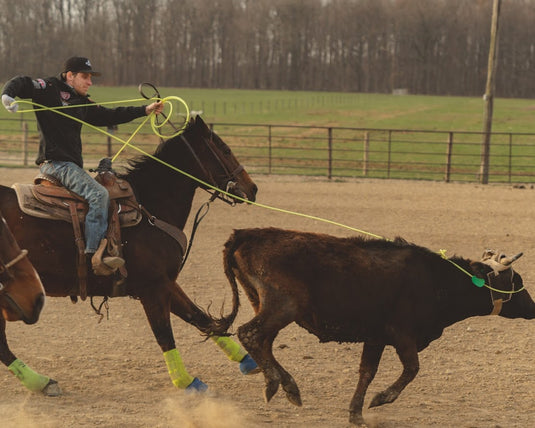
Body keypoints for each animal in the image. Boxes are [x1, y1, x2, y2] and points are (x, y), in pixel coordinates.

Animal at [0, 115, 260, 396]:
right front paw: (186, 381)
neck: (150, 209)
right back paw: (40, 381)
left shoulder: (166, 282)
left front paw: (248, 360)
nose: (253, 188)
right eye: (225, 150)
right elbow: (164, 334)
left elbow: (198, 316)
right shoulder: (152, 289)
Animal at [215, 227, 535, 424]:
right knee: (251, 334)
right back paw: (276, 383)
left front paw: (356, 413)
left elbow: (367, 372)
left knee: (264, 343)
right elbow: (411, 369)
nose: (532, 307)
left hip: (264, 303)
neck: (436, 280)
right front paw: (382, 398)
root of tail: (246, 235)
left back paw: (288, 385)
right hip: (282, 306)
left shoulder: (376, 337)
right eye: (516, 281)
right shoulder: (402, 334)